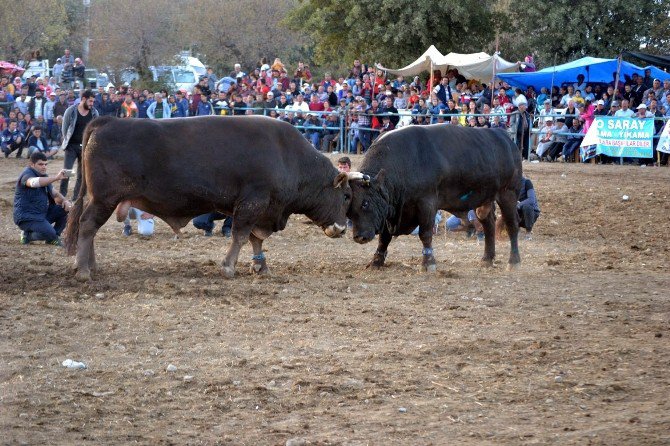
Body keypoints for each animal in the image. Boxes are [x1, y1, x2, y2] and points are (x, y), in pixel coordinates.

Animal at [65, 116, 354, 280]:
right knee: (87, 225)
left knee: (87, 227)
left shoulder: (261, 210)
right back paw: (83, 270)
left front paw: (260, 267)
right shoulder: (252, 204)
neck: (287, 156)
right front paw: (228, 267)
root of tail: (108, 121)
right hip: (104, 199)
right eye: (346, 196)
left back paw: (90, 265)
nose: (341, 228)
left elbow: (255, 240)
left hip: (99, 199)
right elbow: (240, 236)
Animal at [346, 125, 524, 270]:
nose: (359, 236)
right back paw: (487, 259)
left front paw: (428, 262)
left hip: (508, 193)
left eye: (365, 203)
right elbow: (384, 238)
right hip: (484, 199)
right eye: (348, 209)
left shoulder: (427, 204)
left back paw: (513, 261)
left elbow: (425, 234)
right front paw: (376, 261)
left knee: (512, 225)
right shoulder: (390, 211)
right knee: (488, 225)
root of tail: (506, 139)